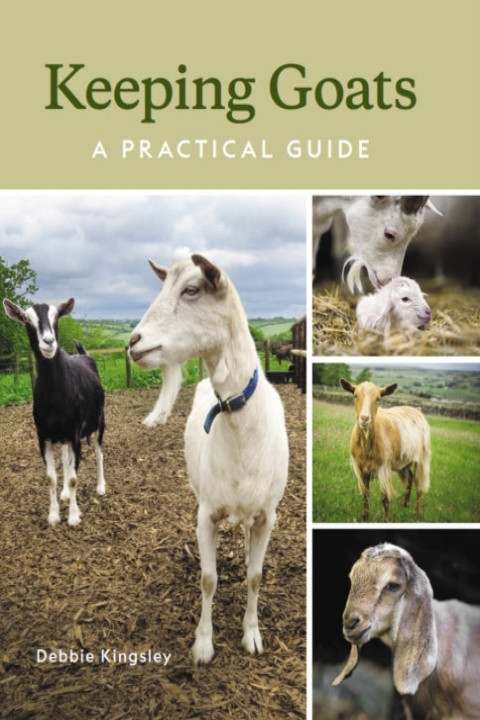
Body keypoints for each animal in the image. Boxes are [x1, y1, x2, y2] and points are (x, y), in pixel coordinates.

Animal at [3, 298, 105, 526]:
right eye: (27, 320)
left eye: (57, 317)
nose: (49, 342)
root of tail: (83, 355)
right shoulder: (43, 436)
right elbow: (51, 477)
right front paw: (53, 515)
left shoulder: (75, 434)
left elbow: (75, 477)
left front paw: (74, 517)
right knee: (66, 459)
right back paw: (65, 493)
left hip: (100, 421)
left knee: (99, 451)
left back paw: (101, 487)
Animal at [128, 254, 289, 663]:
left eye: (191, 289)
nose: (133, 343)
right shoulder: (207, 514)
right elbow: (208, 578)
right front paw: (203, 644)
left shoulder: (268, 515)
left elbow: (255, 577)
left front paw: (252, 635)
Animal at [339, 379, 430, 522]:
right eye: (355, 396)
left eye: (378, 399)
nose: (364, 419)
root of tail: (417, 410)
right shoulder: (361, 469)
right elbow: (365, 495)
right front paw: (364, 517)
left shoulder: (384, 468)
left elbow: (385, 498)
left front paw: (387, 519)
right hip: (403, 461)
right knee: (409, 479)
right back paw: (405, 506)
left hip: (422, 457)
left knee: (419, 484)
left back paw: (417, 513)